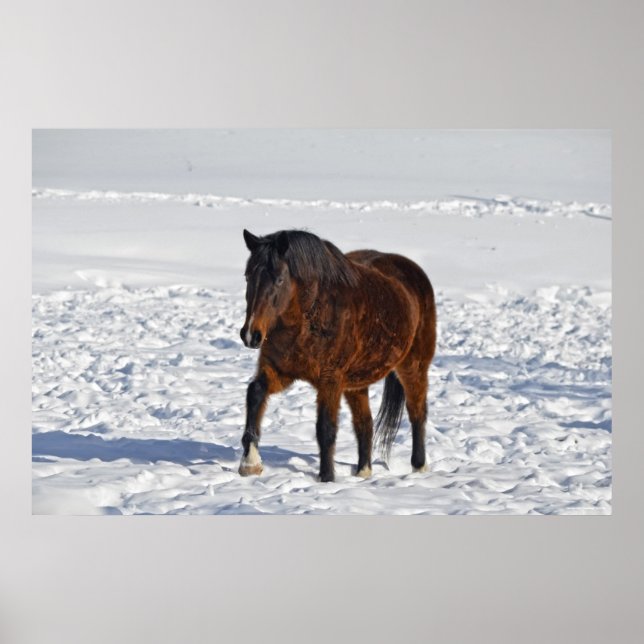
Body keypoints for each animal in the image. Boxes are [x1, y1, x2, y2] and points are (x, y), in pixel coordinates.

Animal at [238, 228, 436, 482]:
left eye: (279, 279)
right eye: (247, 277)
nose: (250, 335)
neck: (308, 317)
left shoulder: (330, 380)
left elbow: (326, 428)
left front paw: (327, 478)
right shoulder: (279, 370)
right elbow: (255, 393)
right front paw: (250, 463)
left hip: (413, 367)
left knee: (417, 413)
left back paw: (419, 466)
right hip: (356, 384)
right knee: (365, 423)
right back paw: (363, 472)